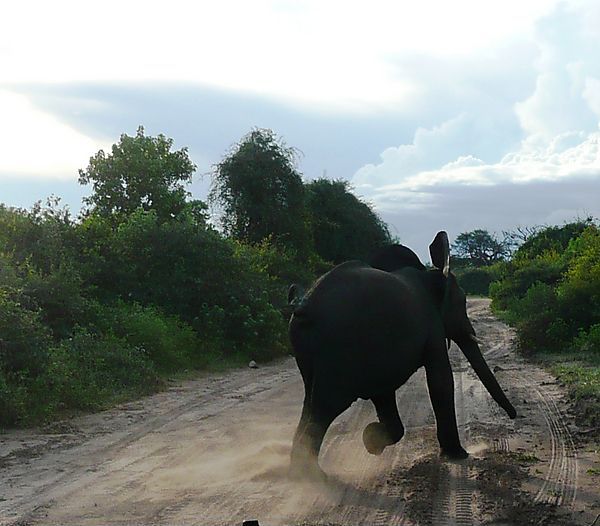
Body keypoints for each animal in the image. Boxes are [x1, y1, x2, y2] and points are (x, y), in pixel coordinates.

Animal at [288, 233, 516, 480]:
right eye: (462, 302)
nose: (514, 416)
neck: (431, 274)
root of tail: (305, 305)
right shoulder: (431, 325)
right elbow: (441, 380)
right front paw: (457, 455)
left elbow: (384, 392)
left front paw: (372, 441)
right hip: (337, 347)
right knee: (325, 406)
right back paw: (313, 476)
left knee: (309, 402)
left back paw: (299, 471)